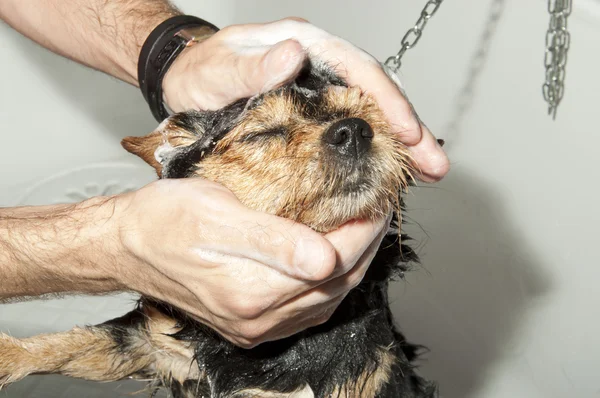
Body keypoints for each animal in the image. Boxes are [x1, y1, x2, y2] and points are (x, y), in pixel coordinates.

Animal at [0, 60, 436, 396]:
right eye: (264, 132)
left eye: (366, 113)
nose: (354, 129)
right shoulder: (155, 344)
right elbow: (75, 343)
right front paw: (9, 355)